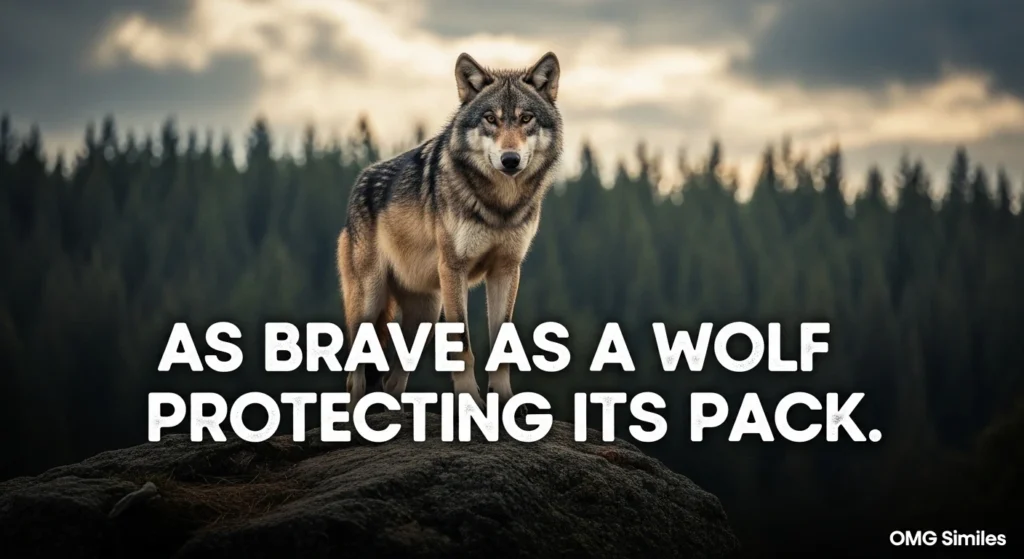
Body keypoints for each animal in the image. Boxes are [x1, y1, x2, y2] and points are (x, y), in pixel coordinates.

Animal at [336, 51, 563, 412]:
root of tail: (361, 182)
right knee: (354, 373)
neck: (500, 205)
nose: (510, 159)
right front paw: (470, 400)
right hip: (370, 301)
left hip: (426, 314)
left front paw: (507, 401)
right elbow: (463, 346)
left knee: (393, 378)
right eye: (490, 119)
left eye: (526, 118)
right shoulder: (454, 269)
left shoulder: (507, 270)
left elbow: (503, 347)